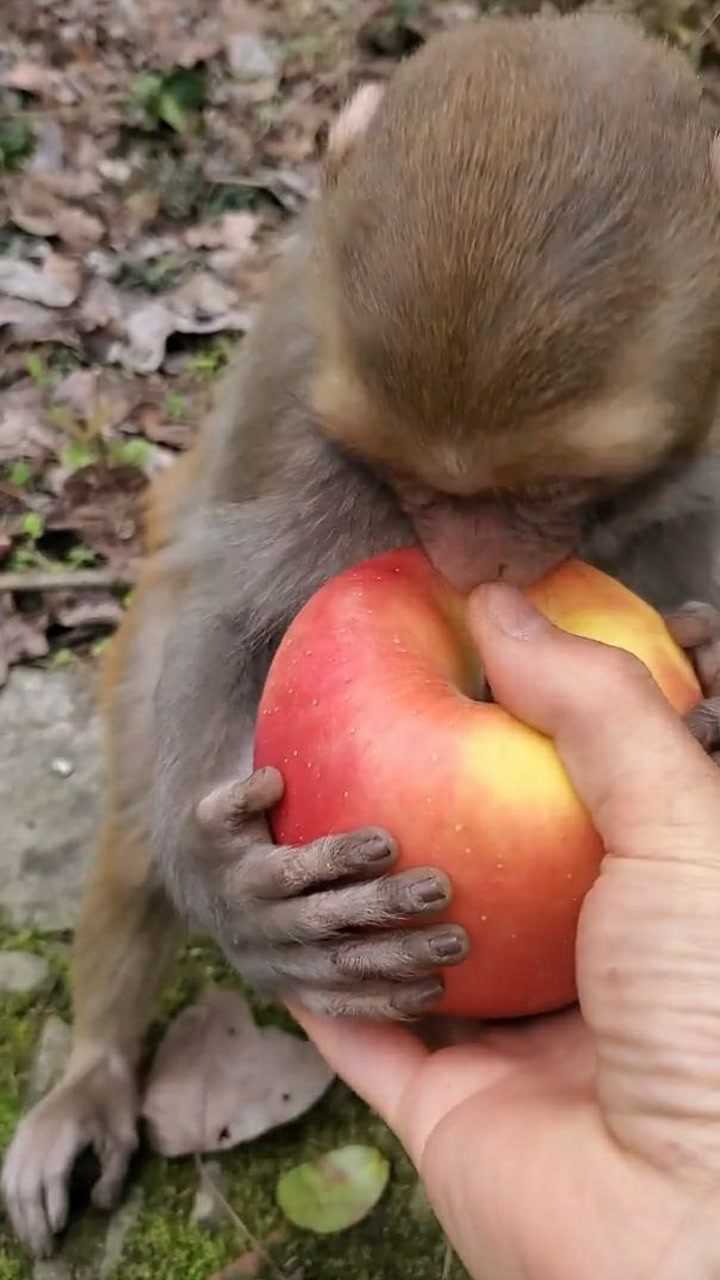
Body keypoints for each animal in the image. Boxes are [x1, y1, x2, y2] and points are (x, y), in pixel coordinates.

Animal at [7, 5, 720, 1254]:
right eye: (412, 479)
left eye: (555, 486)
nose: (470, 568)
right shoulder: (300, 379)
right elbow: (227, 607)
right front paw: (233, 887)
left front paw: (717, 669)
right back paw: (93, 1068)